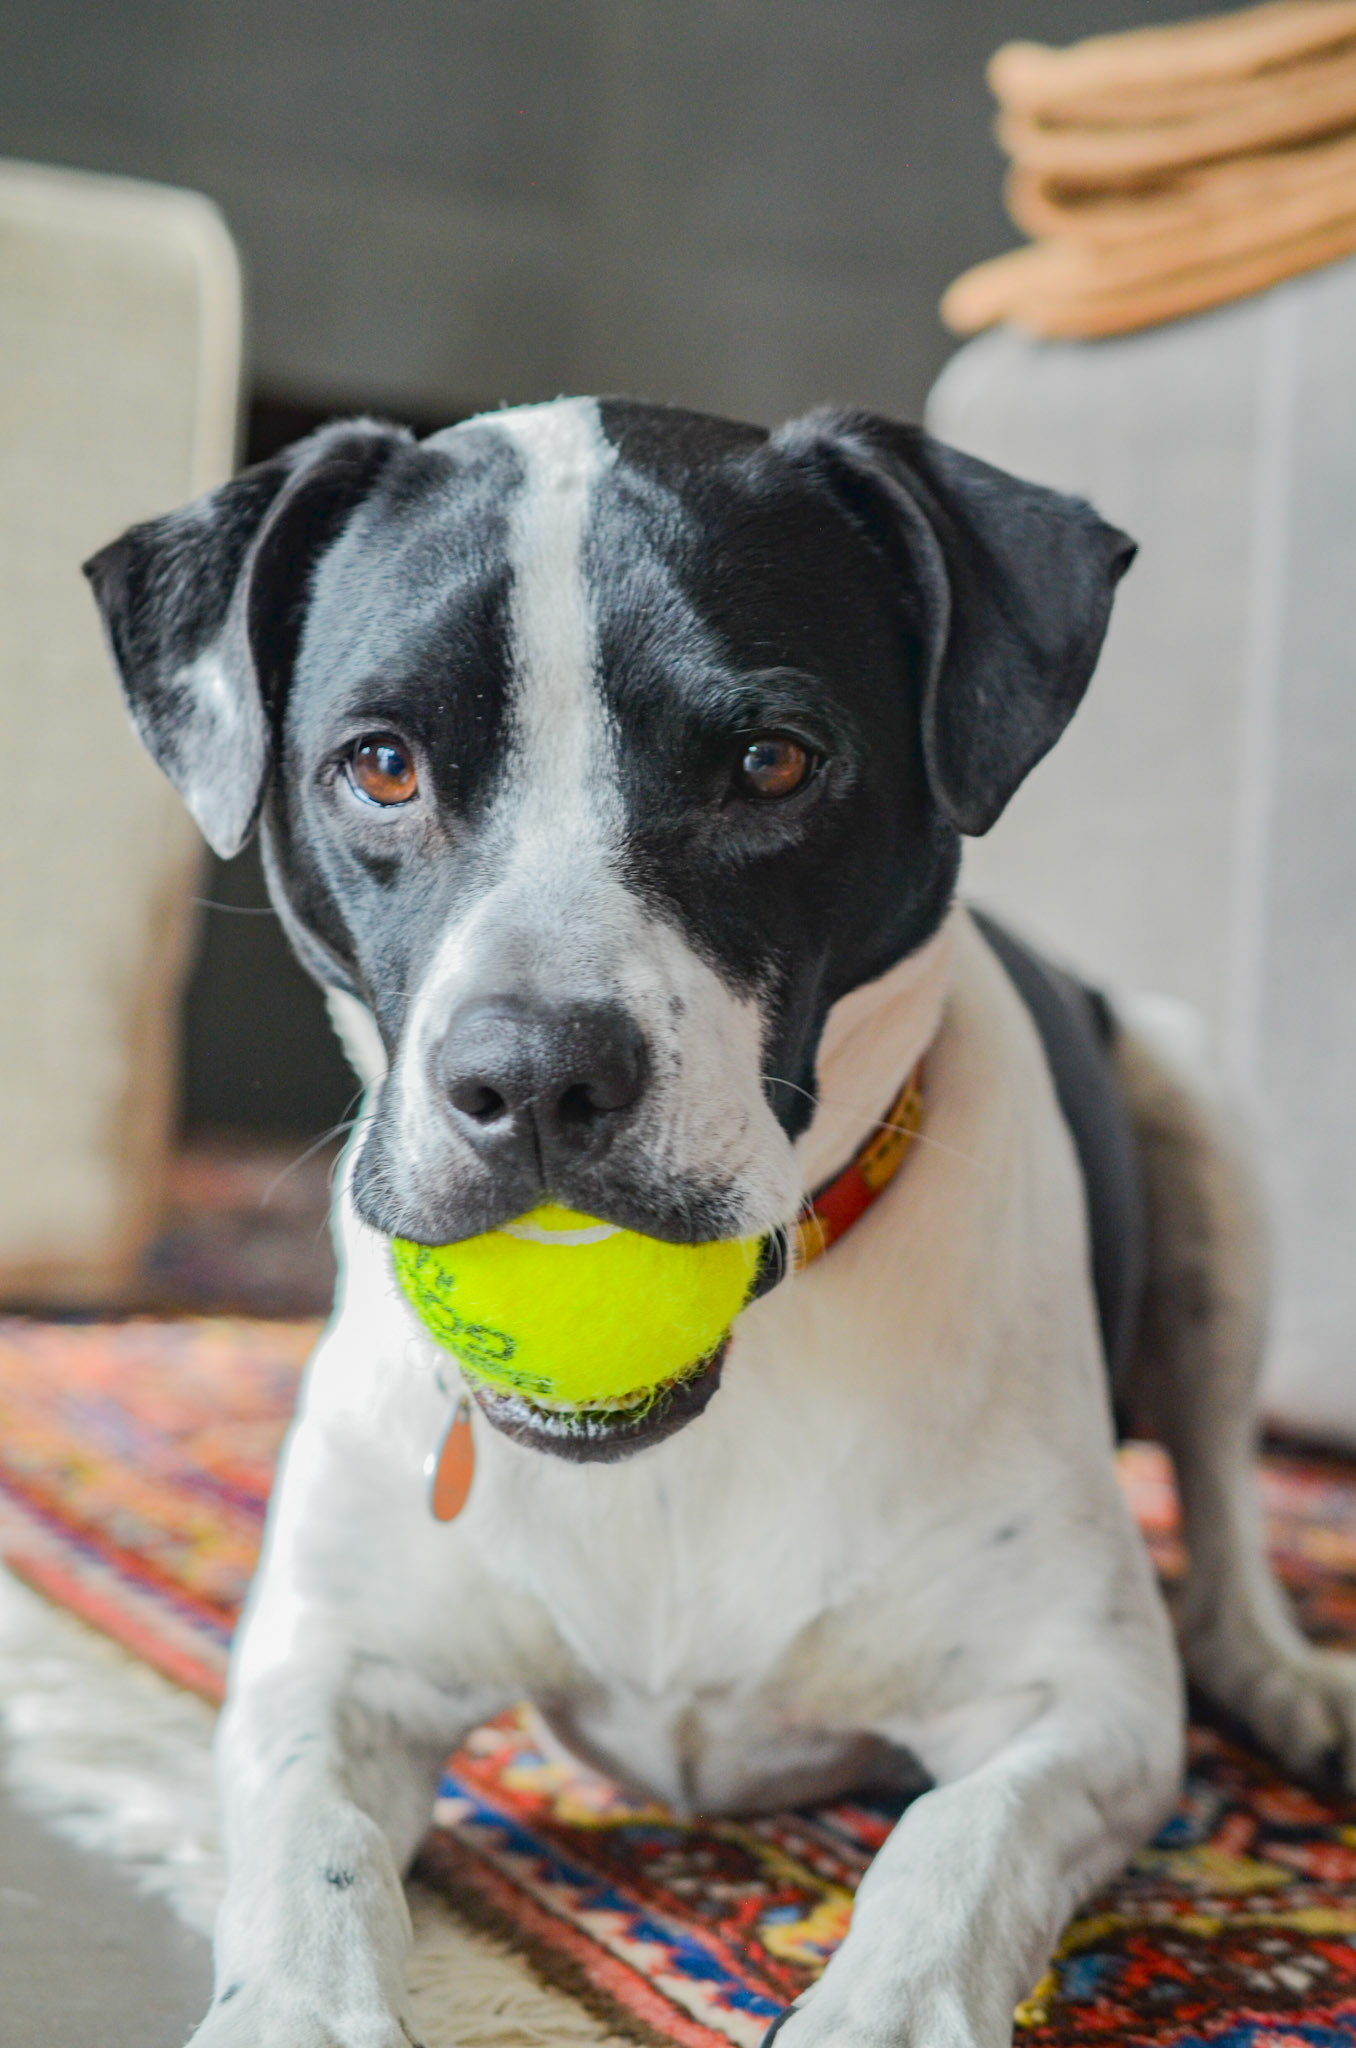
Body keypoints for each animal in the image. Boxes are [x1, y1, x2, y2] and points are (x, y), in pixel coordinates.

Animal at [86, 398, 1356, 2048]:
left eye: (772, 761)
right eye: (380, 766)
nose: (535, 1078)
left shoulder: (1087, 1701)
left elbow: (956, 1841)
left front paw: (880, 2015)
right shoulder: (325, 1667)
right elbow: (314, 1846)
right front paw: (301, 2016)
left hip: (1204, 1124)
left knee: (1220, 1506)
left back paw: (1292, 1676)